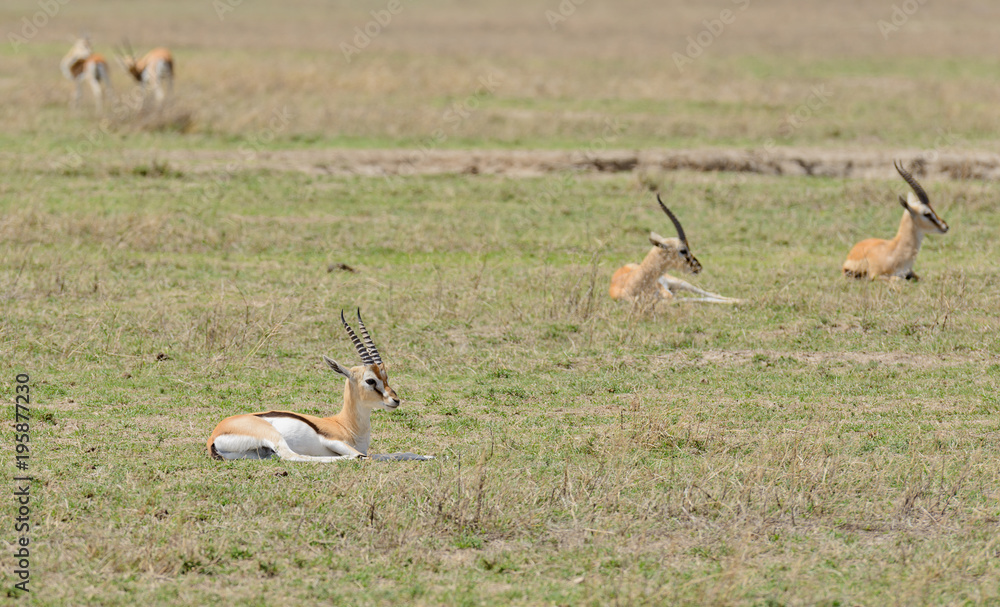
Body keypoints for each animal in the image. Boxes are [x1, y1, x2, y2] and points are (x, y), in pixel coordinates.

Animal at [207, 310, 433, 462]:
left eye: (386, 377)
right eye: (370, 380)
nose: (395, 400)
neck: (345, 424)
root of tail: (214, 435)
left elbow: (397, 453)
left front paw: (428, 456)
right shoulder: (333, 441)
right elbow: (367, 456)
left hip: (260, 454)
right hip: (274, 437)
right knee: (294, 456)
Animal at [610, 194, 739, 304]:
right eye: (683, 250)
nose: (698, 267)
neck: (631, 283)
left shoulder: (668, 294)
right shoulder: (668, 298)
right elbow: (694, 299)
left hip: (679, 282)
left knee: (708, 293)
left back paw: (740, 299)